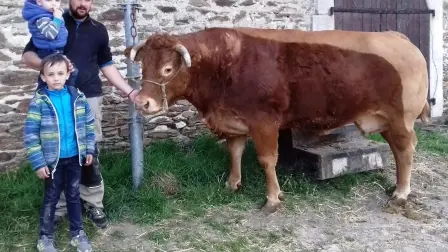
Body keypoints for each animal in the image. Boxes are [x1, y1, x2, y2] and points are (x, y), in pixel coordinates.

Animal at [123, 27, 430, 213]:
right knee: (399, 151)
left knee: (406, 150)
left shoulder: (264, 123)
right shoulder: (233, 122)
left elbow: (267, 160)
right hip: (389, 122)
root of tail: (398, 37)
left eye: (167, 68)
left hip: (401, 119)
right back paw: (397, 187)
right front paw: (232, 184)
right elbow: (234, 152)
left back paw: (401, 194)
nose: (142, 102)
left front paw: (272, 198)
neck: (224, 64)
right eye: (143, 66)